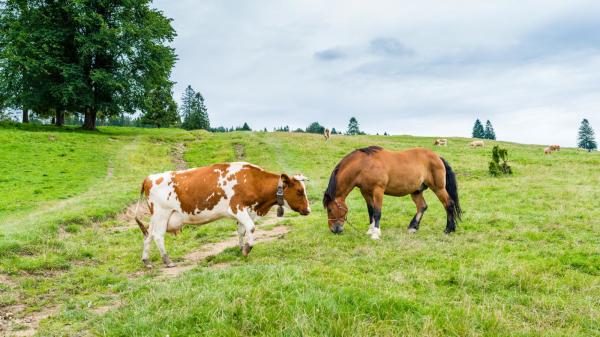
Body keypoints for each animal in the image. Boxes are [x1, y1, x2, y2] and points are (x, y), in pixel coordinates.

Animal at [135, 161, 312, 266]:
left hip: (155, 216)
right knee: (158, 235)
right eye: (299, 191)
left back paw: (146, 260)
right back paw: (167, 260)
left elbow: (242, 231)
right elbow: (251, 227)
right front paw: (247, 249)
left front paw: (241, 248)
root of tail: (150, 177)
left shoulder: (246, 211)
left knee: (148, 235)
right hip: (162, 213)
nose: (308, 210)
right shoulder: (236, 208)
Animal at [324, 145, 460, 239]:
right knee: (422, 206)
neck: (364, 164)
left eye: (330, 209)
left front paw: (376, 234)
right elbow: (371, 212)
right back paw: (412, 228)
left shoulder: (378, 191)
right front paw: (370, 230)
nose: (334, 230)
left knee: (448, 204)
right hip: (416, 191)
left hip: (439, 188)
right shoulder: (366, 192)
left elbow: (377, 212)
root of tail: (438, 157)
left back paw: (448, 229)